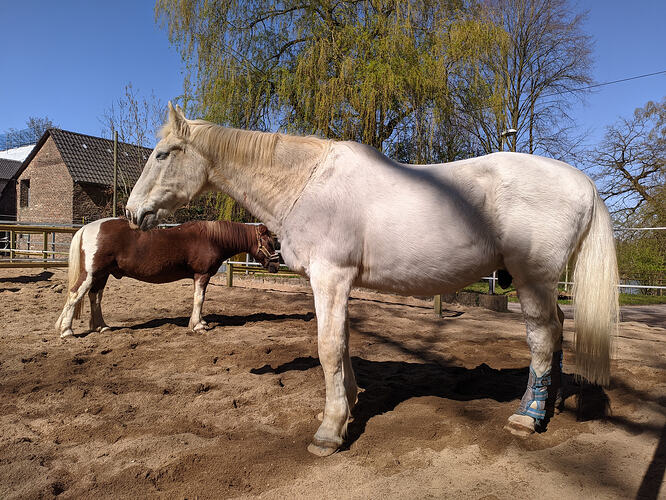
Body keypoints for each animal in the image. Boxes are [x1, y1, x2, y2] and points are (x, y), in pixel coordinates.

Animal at [55, 217, 279, 338]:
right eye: (269, 243)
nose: (276, 265)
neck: (212, 238)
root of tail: (87, 228)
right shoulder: (202, 274)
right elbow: (199, 299)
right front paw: (197, 325)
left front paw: (201, 322)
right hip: (91, 273)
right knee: (75, 294)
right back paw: (66, 330)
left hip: (102, 275)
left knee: (95, 297)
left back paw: (102, 326)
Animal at [125, 103, 618, 457]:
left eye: (162, 155)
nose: (132, 214)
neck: (307, 183)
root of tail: (582, 182)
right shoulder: (337, 285)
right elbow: (342, 346)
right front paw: (346, 409)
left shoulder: (329, 278)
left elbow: (328, 348)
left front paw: (329, 433)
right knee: (556, 330)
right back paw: (548, 405)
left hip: (531, 277)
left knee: (542, 336)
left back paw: (527, 417)